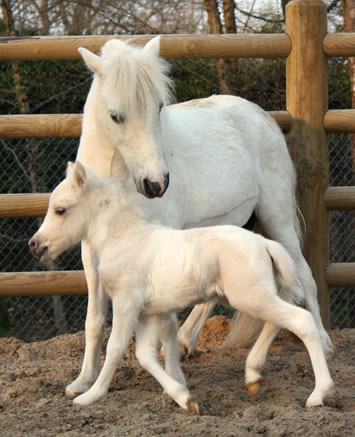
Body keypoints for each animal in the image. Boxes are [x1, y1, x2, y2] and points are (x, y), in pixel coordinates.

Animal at [29, 162, 336, 414]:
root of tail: (264, 243)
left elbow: (116, 348)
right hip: (256, 295)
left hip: (251, 296)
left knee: (301, 320)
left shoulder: (127, 304)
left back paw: (319, 394)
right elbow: (144, 355)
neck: (124, 238)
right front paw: (185, 398)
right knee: (278, 320)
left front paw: (91, 395)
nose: (36, 245)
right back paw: (253, 375)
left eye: (60, 209)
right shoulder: (150, 313)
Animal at [66, 35, 334, 398]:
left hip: (276, 216)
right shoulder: (91, 251)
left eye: (158, 107)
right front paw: (82, 381)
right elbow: (94, 319)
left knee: (303, 274)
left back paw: (323, 341)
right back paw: (185, 344)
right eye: (115, 115)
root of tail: (260, 116)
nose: (156, 184)